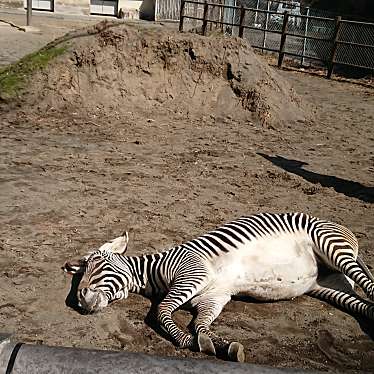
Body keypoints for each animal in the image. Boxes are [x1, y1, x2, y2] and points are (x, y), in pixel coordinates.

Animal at [62, 213, 374, 362]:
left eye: (98, 265)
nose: (79, 300)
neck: (157, 270)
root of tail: (339, 226)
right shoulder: (213, 297)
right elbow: (200, 325)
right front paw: (217, 346)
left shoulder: (192, 276)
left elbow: (161, 311)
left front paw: (187, 341)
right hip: (326, 284)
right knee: (364, 305)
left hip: (330, 246)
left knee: (367, 284)